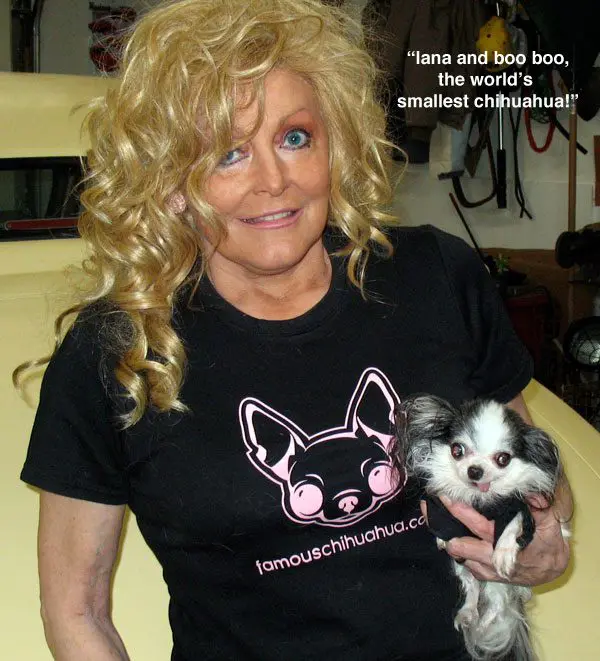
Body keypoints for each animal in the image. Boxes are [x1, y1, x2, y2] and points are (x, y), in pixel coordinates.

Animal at [392, 395, 570, 660]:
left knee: (497, 606)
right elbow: (444, 521)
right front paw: (443, 539)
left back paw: (483, 625)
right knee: (473, 588)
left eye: (503, 459)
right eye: (457, 450)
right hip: (464, 568)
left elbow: (512, 526)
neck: (480, 498)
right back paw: (468, 614)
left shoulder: (517, 509)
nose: (475, 470)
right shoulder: (442, 507)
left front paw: (503, 553)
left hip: (501, 584)